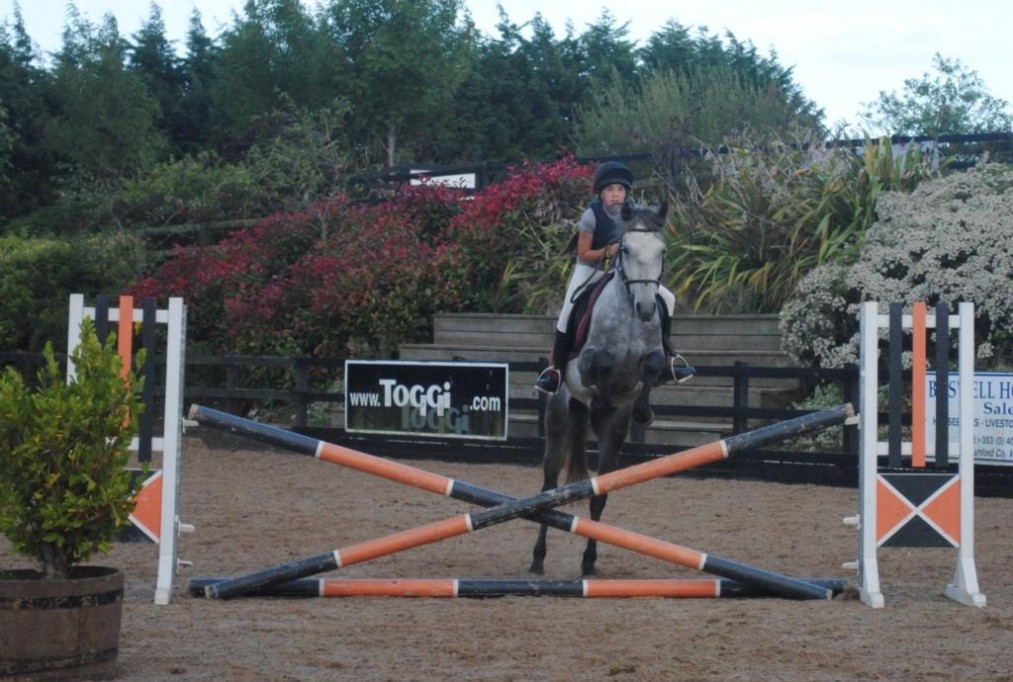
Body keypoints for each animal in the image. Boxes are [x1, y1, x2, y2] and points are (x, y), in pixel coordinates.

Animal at [530, 200, 669, 577]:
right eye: (626, 250)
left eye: (661, 251)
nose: (647, 309)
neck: (630, 317)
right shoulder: (585, 362)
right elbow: (599, 363)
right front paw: (604, 395)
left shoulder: (652, 356)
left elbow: (653, 366)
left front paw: (643, 410)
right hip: (558, 419)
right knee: (548, 489)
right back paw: (537, 559)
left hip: (613, 438)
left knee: (599, 496)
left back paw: (589, 563)